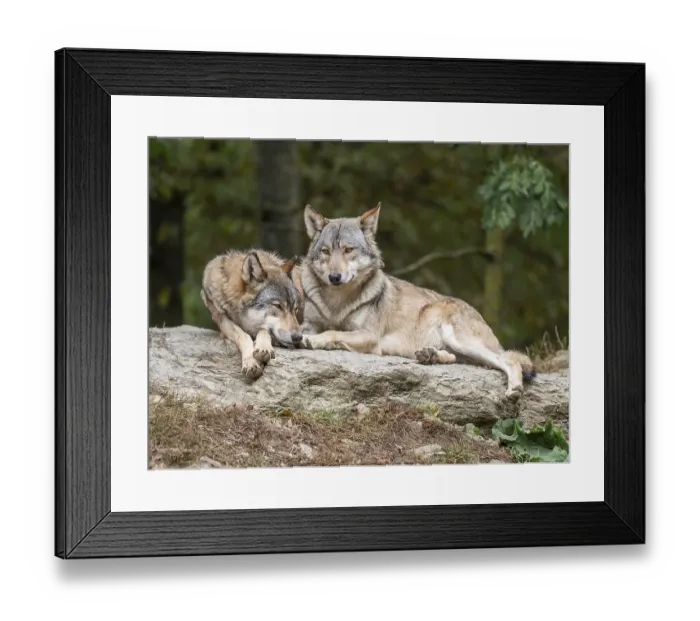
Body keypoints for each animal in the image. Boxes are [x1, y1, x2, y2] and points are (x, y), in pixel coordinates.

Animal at [201, 249, 304, 380]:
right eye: (278, 306)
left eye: (295, 309)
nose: (298, 337)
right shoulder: (221, 319)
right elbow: (242, 335)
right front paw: (250, 362)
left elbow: (264, 330)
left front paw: (264, 348)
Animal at [298, 203, 537, 399]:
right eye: (326, 251)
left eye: (348, 250)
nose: (334, 277)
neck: (336, 302)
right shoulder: (309, 323)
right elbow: (314, 329)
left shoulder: (369, 336)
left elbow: (332, 332)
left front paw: (314, 340)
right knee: (458, 358)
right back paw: (431, 356)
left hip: (459, 338)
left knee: (509, 359)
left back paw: (514, 389)